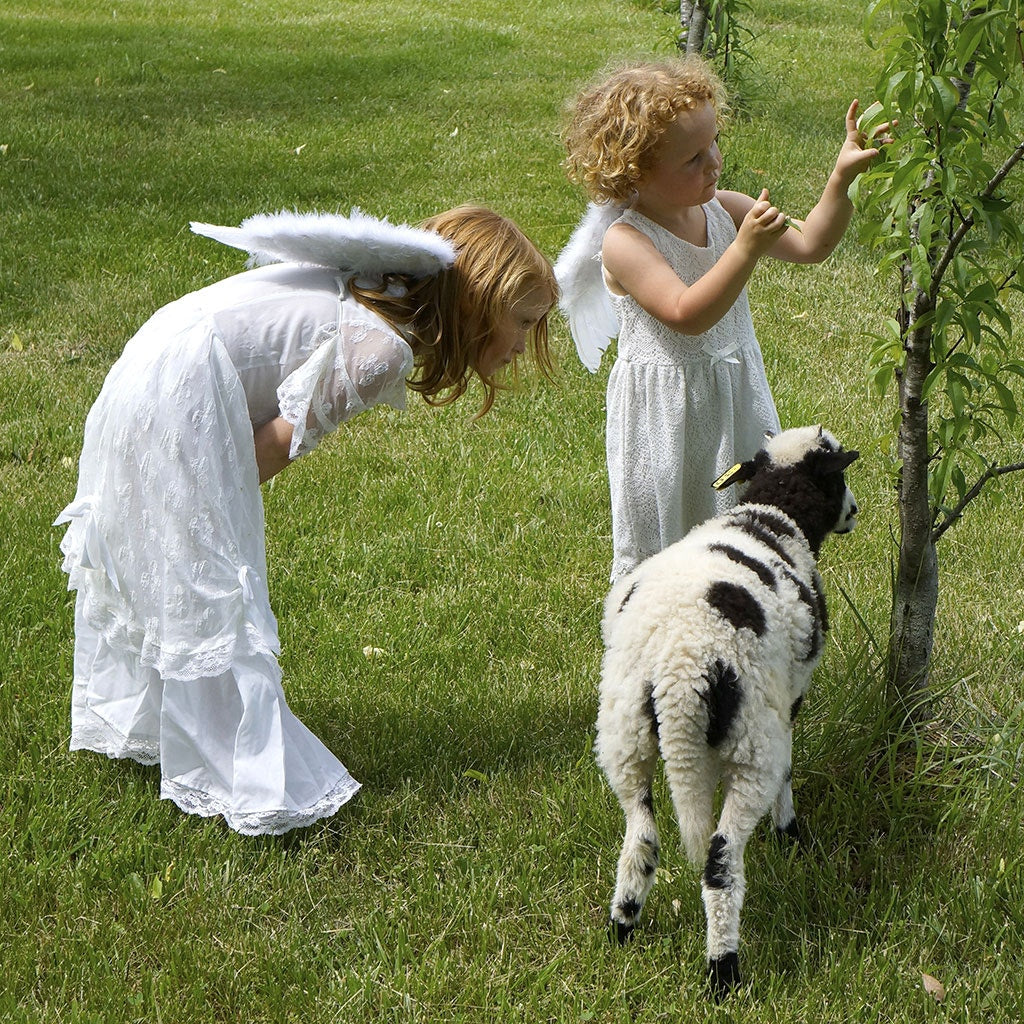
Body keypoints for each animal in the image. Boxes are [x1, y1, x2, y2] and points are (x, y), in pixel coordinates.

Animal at [598, 423, 860, 999]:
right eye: (839, 474)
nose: (855, 510)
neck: (771, 516)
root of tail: (678, 670)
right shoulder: (789, 698)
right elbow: (789, 771)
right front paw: (790, 835)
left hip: (624, 735)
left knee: (641, 836)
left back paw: (623, 926)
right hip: (752, 744)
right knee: (719, 861)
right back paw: (723, 972)